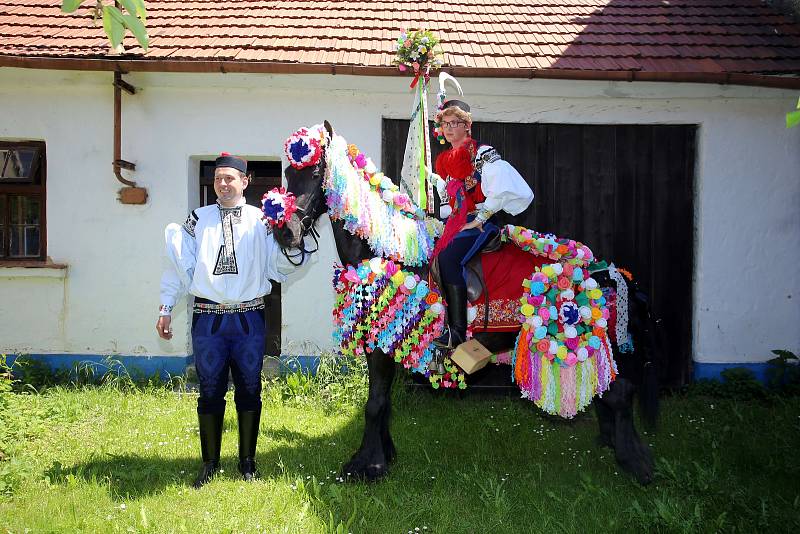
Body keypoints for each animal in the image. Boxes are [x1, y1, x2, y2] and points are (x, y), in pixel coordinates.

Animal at [276, 121, 656, 486]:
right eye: (287, 172)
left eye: (314, 172)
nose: (285, 232)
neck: (390, 251)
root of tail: (608, 273)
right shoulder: (388, 342)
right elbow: (382, 403)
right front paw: (384, 455)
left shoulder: (380, 347)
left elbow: (375, 403)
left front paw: (366, 466)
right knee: (612, 393)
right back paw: (613, 444)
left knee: (621, 393)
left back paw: (637, 463)